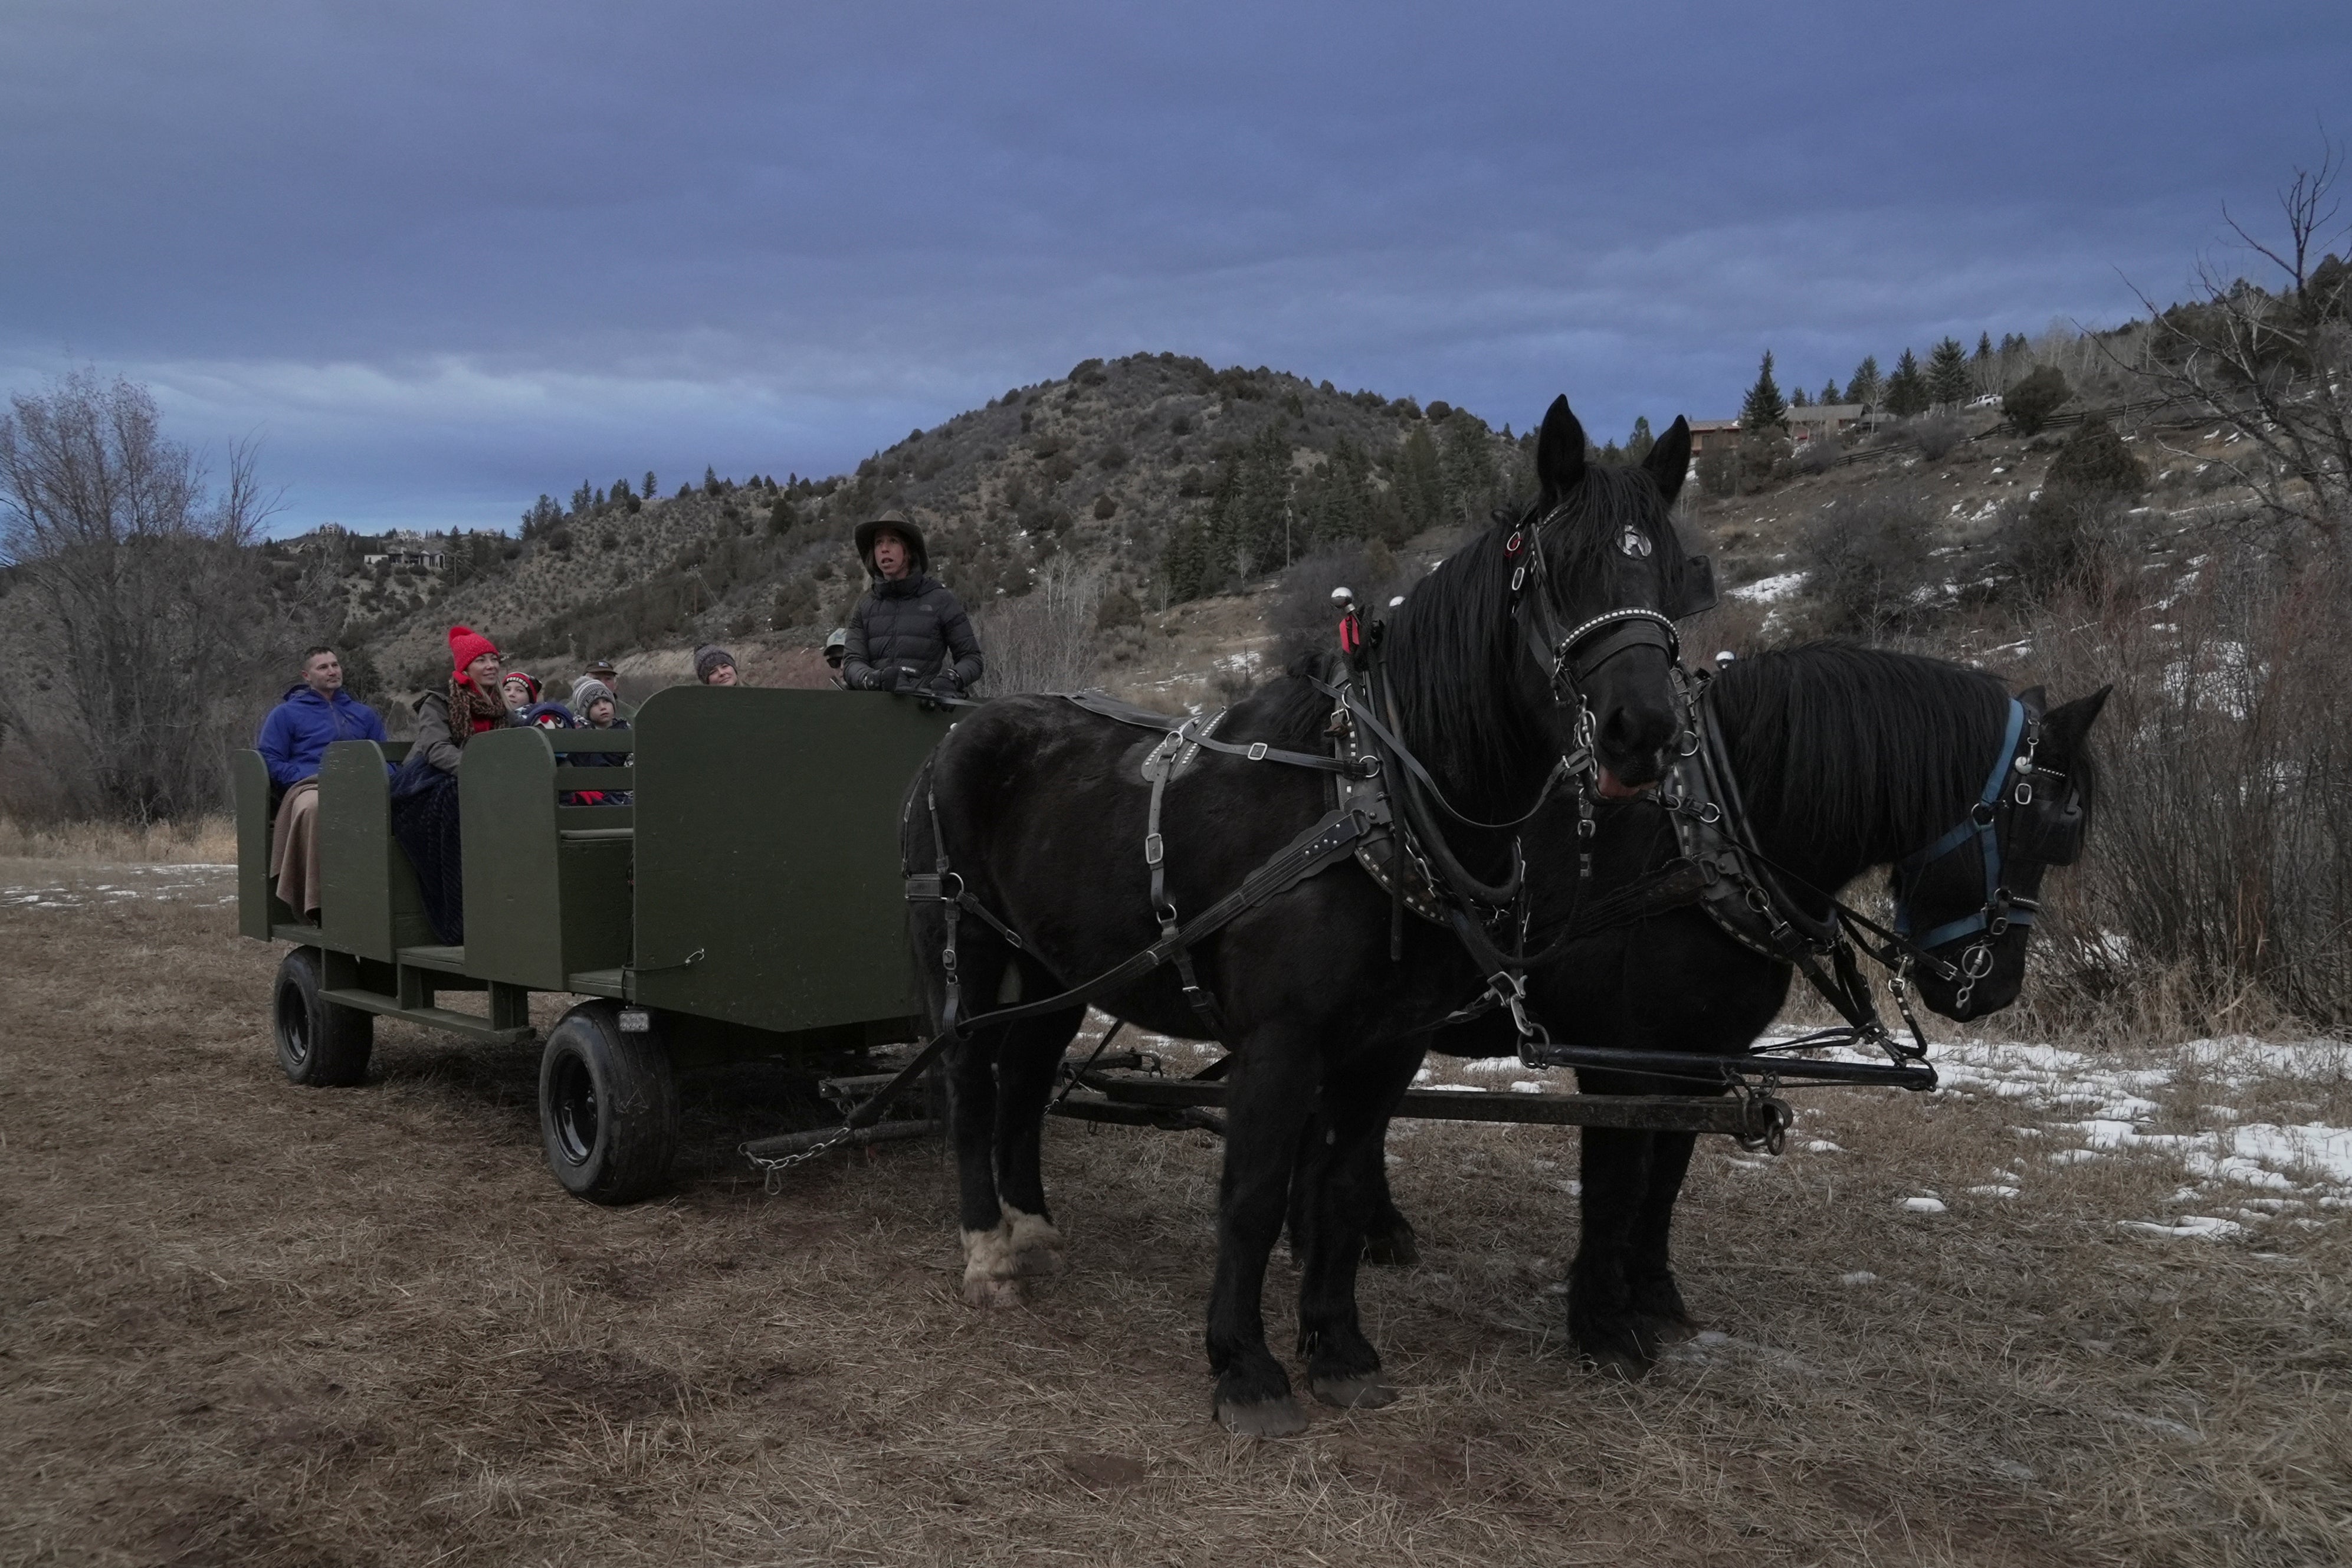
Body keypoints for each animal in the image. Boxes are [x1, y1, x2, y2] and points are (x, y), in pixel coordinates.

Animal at [906, 396, 1703, 1435]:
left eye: (1671, 572)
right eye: (1560, 568)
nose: (1641, 731)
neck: (1371, 794)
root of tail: (961, 731)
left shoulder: (1387, 1043)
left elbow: (1340, 1189)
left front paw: (1338, 1346)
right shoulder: (1281, 1041)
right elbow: (1251, 1194)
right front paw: (1242, 1365)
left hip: (1053, 968)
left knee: (1026, 1079)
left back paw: (1030, 1226)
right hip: (962, 948)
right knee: (969, 1083)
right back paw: (987, 1252)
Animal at [1362, 642, 2111, 1374]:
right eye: (2049, 827)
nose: (1994, 990)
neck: (1699, 854)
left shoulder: (1702, 1061)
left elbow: (1666, 1179)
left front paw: (1653, 1295)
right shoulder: (1623, 1067)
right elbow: (1617, 1185)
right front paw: (1604, 1328)